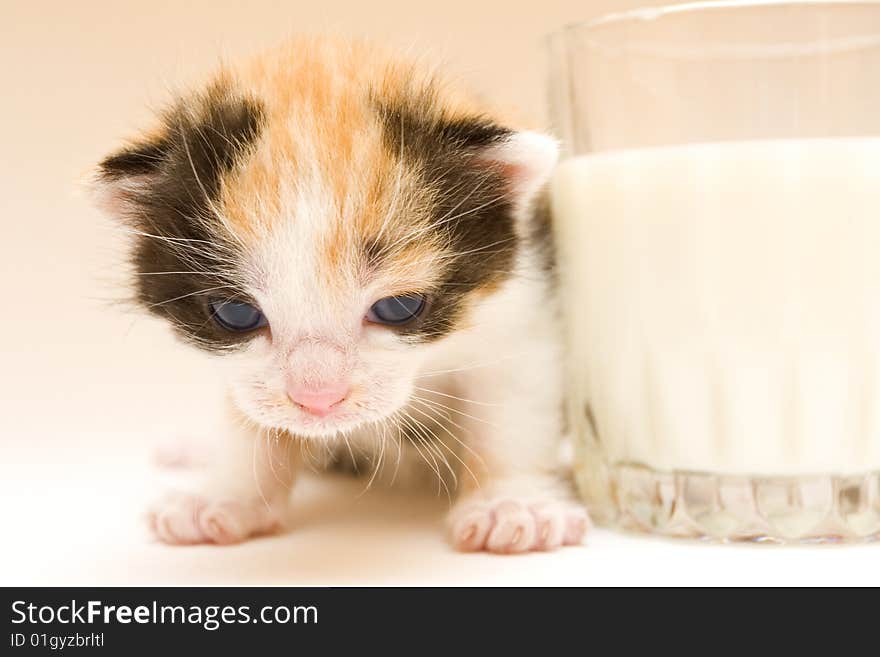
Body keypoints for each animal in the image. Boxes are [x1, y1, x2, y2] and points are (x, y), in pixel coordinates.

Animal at [93, 38, 588, 552]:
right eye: (235, 314)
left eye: (398, 308)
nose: (318, 399)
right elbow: (245, 419)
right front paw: (228, 498)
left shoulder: (522, 309)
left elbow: (514, 413)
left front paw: (512, 504)